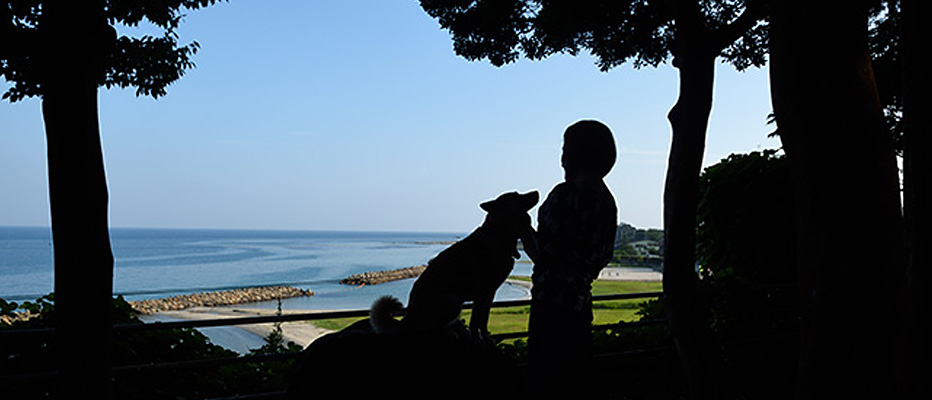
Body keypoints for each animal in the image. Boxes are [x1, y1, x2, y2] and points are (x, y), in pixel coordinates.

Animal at [370, 191, 540, 338]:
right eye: (517, 195)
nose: (537, 192)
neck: (498, 234)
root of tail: (408, 319)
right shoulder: (483, 293)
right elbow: (476, 322)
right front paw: (479, 339)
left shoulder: (489, 294)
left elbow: (483, 321)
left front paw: (485, 337)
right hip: (453, 302)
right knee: (427, 329)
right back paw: (449, 332)